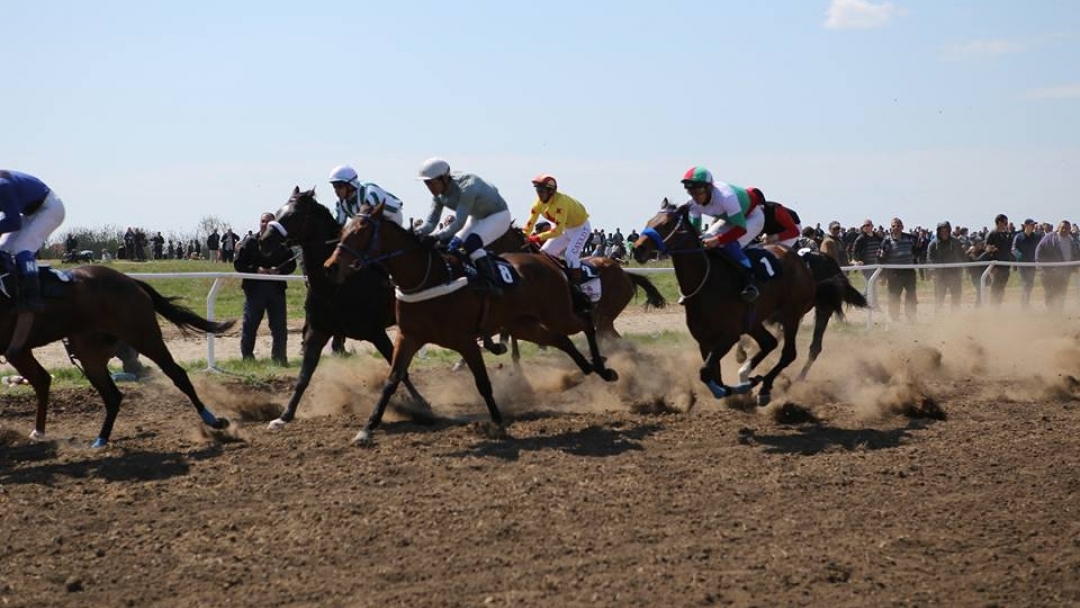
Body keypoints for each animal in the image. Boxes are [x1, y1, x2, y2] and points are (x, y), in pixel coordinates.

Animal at [0, 264, 234, 449]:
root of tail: (130, 280)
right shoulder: (18, 347)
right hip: (88, 353)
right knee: (110, 395)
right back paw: (99, 439)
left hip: (144, 336)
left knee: (178, 375)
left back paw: (213, 420)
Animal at [258, 187, 429, 429]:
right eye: (277, 211)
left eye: (293, 215)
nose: (264, 241)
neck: (336, 285)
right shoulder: (318, 330)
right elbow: (304, 376)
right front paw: (284, 416)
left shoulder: (376, 332)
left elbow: (400, 371)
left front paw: (422, 404)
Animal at [324, 203, 622, 442]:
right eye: (343, 231)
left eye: (361, 232)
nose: (331, 266)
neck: (429, 276)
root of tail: (551, 264)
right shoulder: (408, 336)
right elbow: (392, 380)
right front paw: (367, 428)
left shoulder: (465, 340)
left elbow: (483, 383)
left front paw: (498, 424)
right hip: (525, 325)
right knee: (560, 339)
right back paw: (585, 370)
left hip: (558, 313)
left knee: (586, 323)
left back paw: (603, 368)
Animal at [630, 201, 812, 406]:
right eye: (650, 221)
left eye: (666, 224)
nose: (638, 249)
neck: (707, 281)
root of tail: (799, 260)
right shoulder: (704, 340)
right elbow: (713, 377)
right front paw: (744, 385)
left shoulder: (729, 336)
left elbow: (705, 372)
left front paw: (748, 385)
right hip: (754, 322)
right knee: (769, 343)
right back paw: (747, 375)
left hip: (791, 314)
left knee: (788, 353)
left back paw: (764, 389)